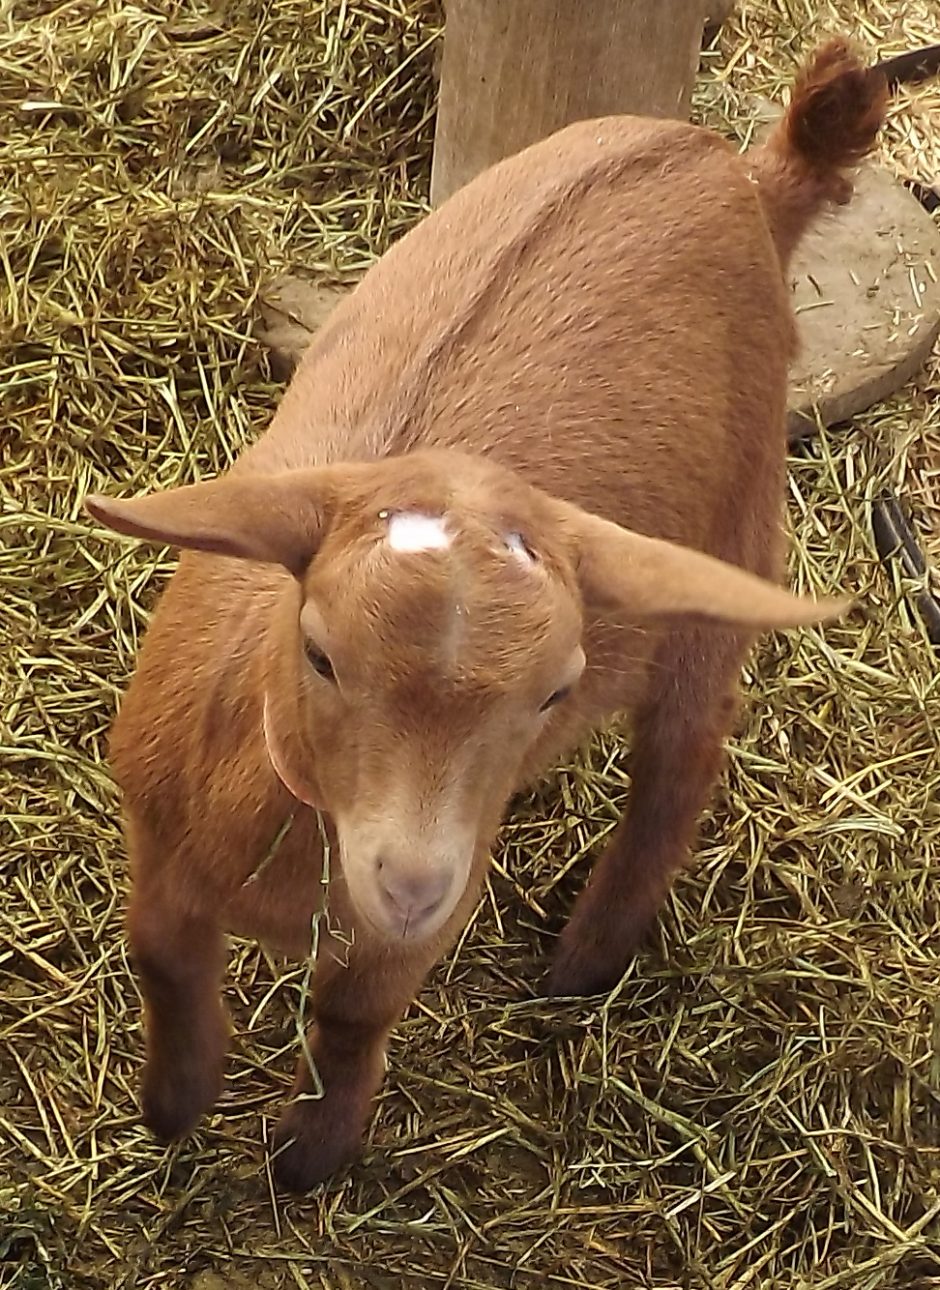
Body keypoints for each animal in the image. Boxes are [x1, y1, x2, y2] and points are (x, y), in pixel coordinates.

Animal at [85, 40, 886, 1192]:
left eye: (554, 691)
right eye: (318, 654)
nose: (410, 880)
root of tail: (738, 171)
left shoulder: (431, 899)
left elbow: (350, 1016)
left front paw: (308, 1157)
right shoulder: (157, 827)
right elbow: (156, 955)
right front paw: (172, 1106)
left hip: (731, 534)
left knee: (682, 756)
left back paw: (585, 959)